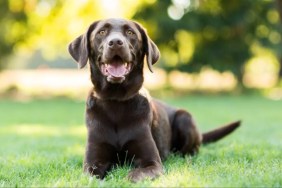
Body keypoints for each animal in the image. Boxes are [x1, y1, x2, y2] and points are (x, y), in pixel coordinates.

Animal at [67, 18, 240, 182]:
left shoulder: (152, 163)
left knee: (191, 152)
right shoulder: (92, 163)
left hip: (185, 118)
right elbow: (91, 177)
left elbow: (136, 174)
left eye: (130, 33)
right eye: (101, 32)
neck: (115, 100)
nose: (115, 42)